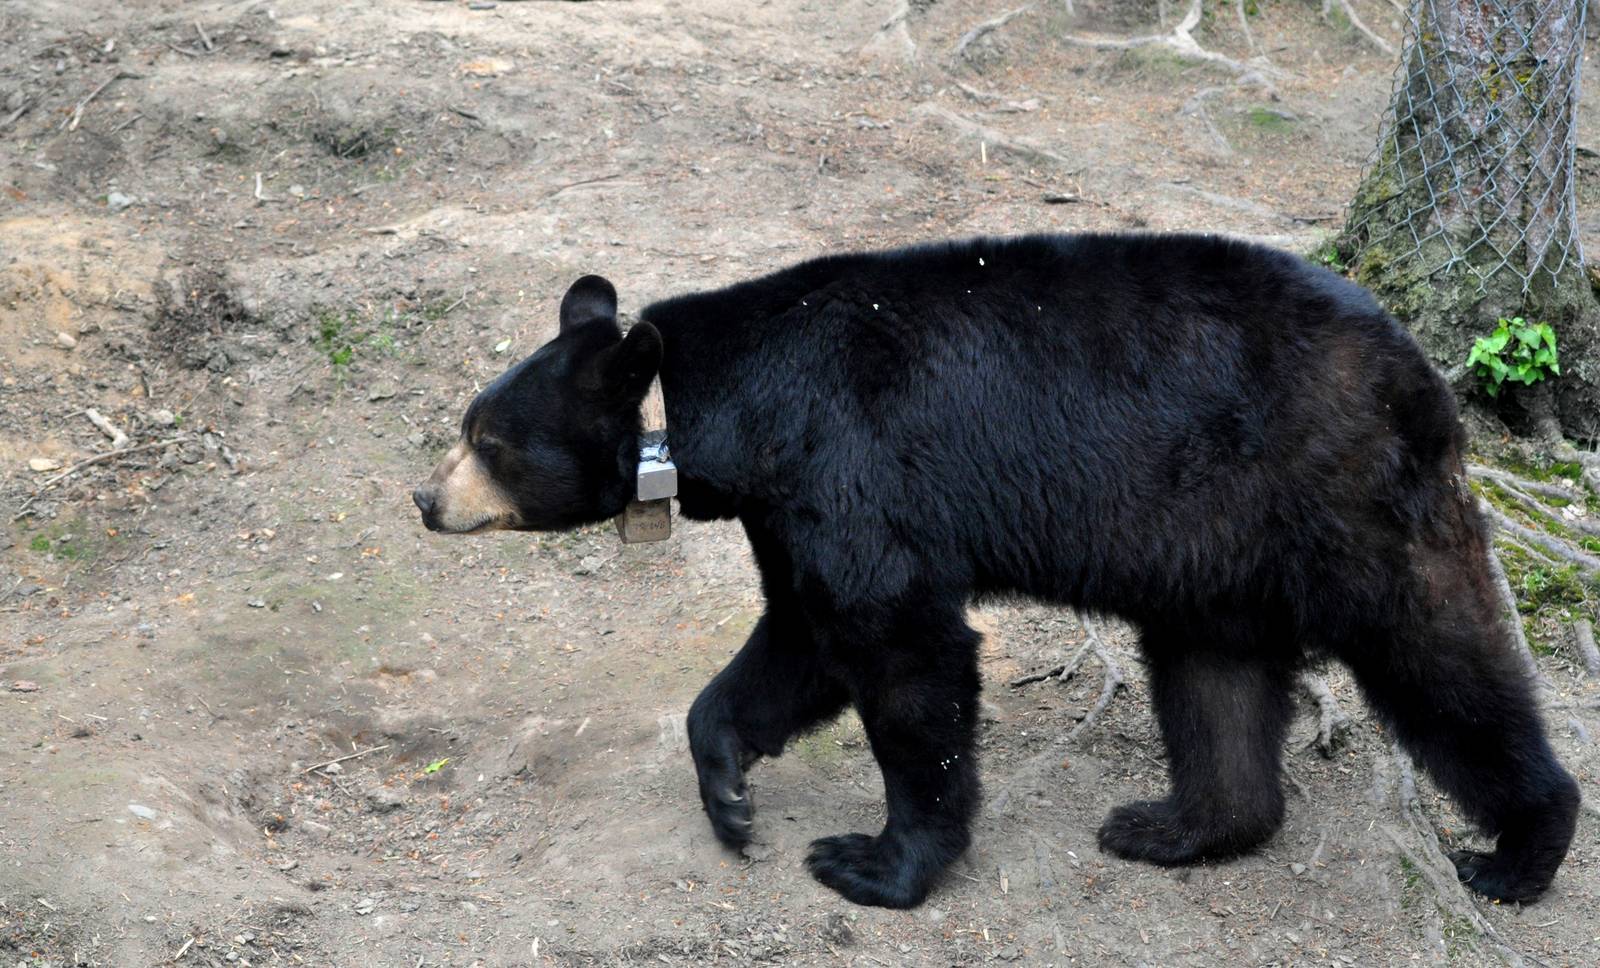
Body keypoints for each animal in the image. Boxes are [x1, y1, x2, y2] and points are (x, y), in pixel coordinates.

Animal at [412, 232, 1580, 910]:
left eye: (488, 439)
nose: (426, 499)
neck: (722, 403)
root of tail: (1419, 368)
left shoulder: (845, 458)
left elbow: (900, 651)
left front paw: (876, 862)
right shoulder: (790, 504)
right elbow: (798, 639)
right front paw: (729, 795)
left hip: (1337, 497)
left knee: (1434, 652)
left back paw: (1520, 848)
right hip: (1213, 548)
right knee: (1214, 675)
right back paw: (1177, 824)